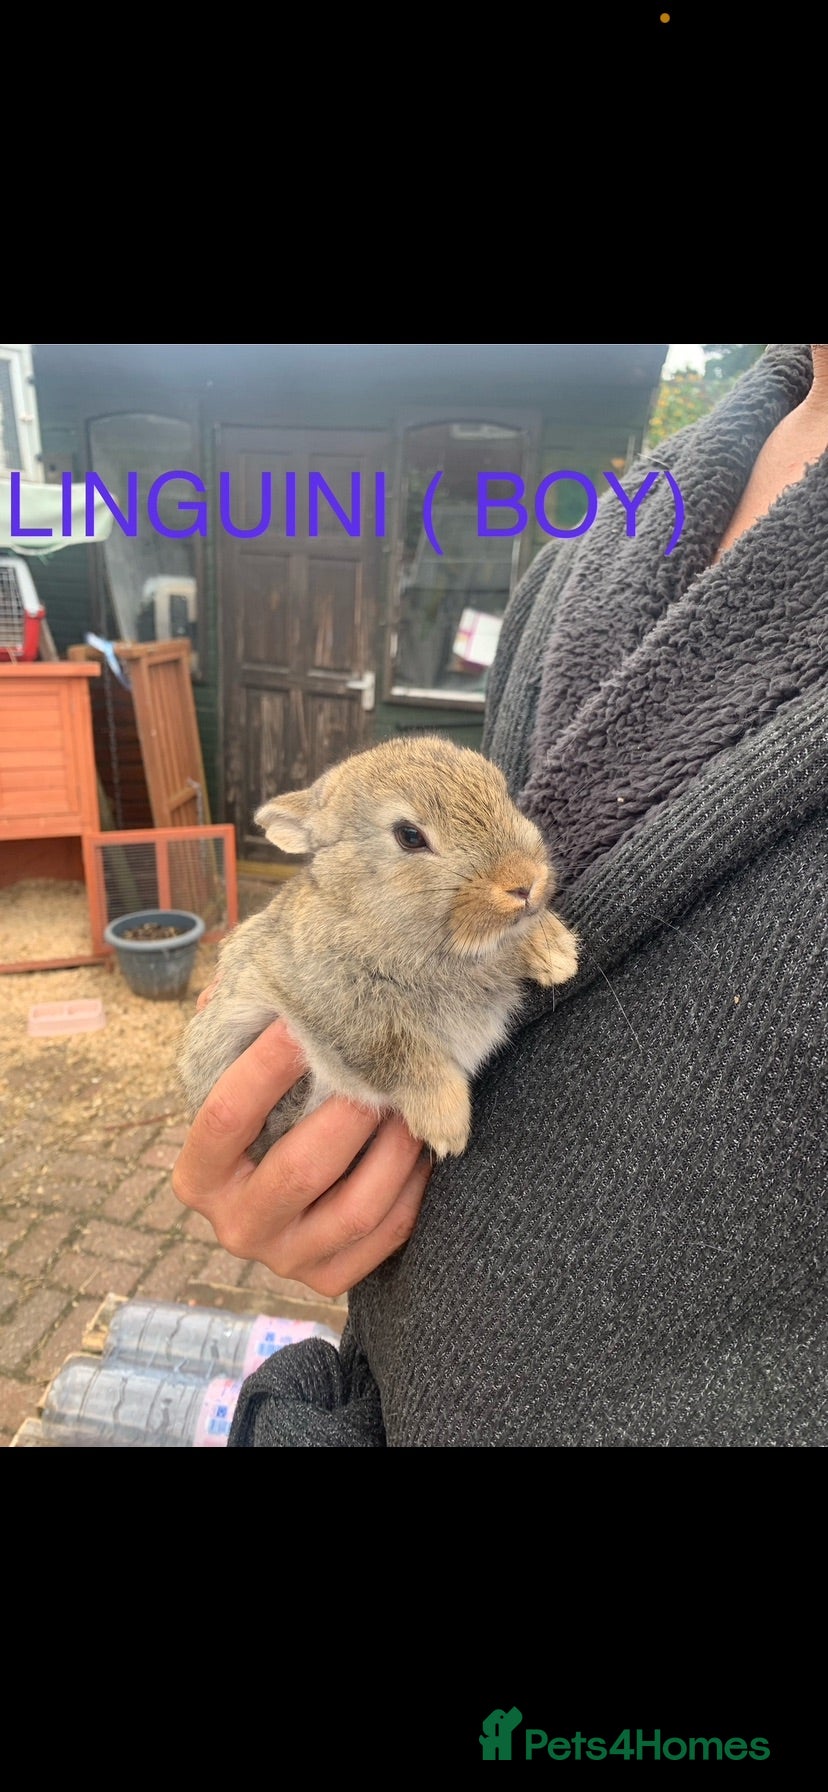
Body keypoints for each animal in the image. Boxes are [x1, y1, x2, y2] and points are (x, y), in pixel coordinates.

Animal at [179, 736, 578, 1163]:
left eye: (503, 794)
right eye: (409, 835)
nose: (524, 882)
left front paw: (558, 956)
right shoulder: (334, 1011)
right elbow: (402, 1055)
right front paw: (447, 1127)